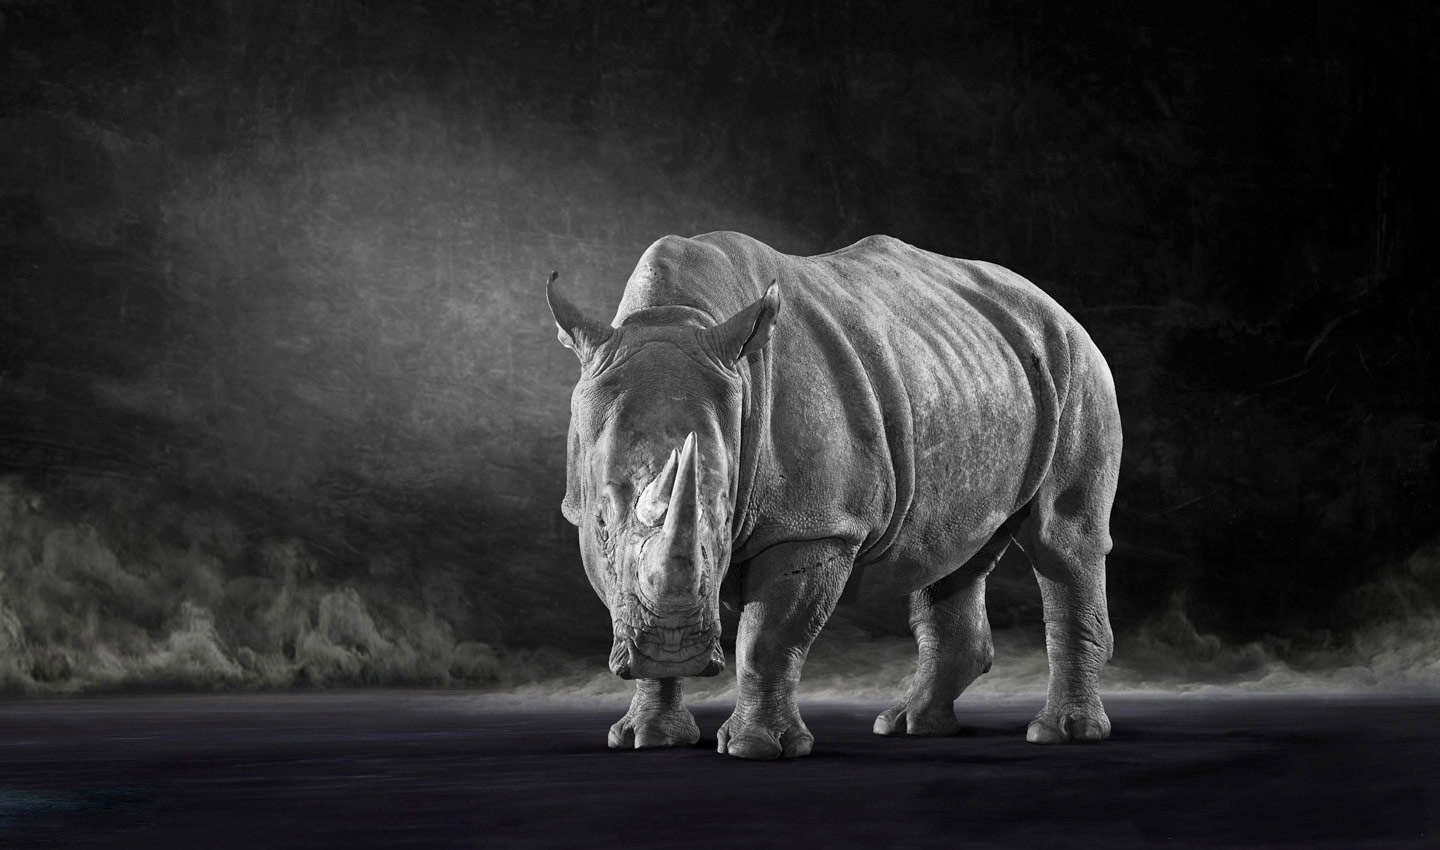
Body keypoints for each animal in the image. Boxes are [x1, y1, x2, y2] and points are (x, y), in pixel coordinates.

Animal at [546, 231, 1121, 760]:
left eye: (725, 516)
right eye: (600, 522)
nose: (674, 649)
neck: (675, 318)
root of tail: (1053, 304)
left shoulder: (815, 525)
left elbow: (768, 639)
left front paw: (757, 748)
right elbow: (624, 595)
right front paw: (647, 736)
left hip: (1075, 363)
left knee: (1062, 542)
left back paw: (1062, 732)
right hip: (969, 373)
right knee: (950, 551)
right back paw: (910, 725)